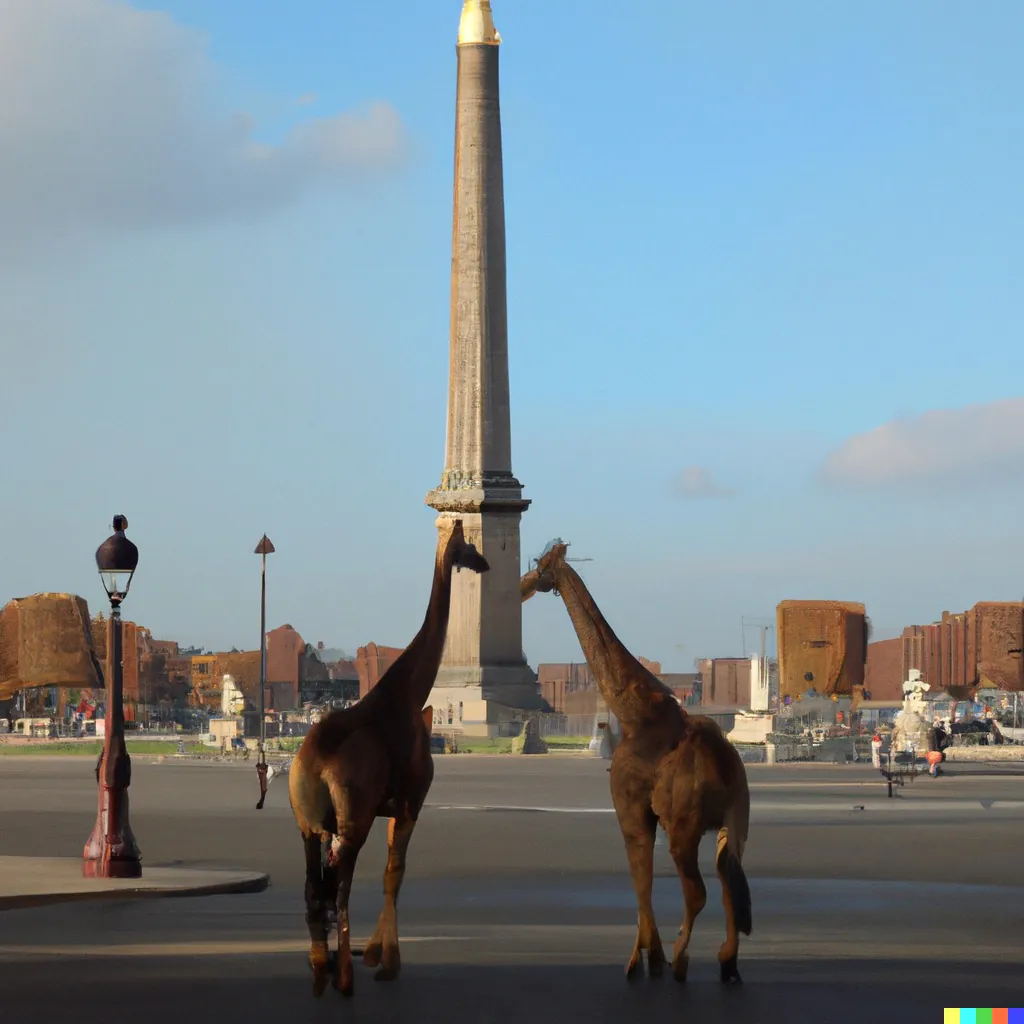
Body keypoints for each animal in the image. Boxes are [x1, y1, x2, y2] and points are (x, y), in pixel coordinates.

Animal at [286, 516, 489, 995]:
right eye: (468, 546)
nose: (485, 563)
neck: (410, 690)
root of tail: (315, 764)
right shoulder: (413, 799)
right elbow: (394, 872)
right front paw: (388, 962)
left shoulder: (392, 806)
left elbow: (387, 874)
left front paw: (379, 955)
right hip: (351, 821)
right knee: (339, 890)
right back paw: (343, 979)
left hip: (308, 823)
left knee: (315, 889)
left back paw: (321, 968)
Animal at [520, 544, 753, 983]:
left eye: (540, 565)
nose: (522, 587)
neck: (632, 711)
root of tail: (726, 772)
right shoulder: (645, 813)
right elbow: (642, 881)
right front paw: (648, 957)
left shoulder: (629, 807)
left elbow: (640, 880)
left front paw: (643, 961)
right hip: (735, 823)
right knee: (731, 883)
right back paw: (727, 962)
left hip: (686, 827)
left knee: (699, 891)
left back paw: (682, 960)